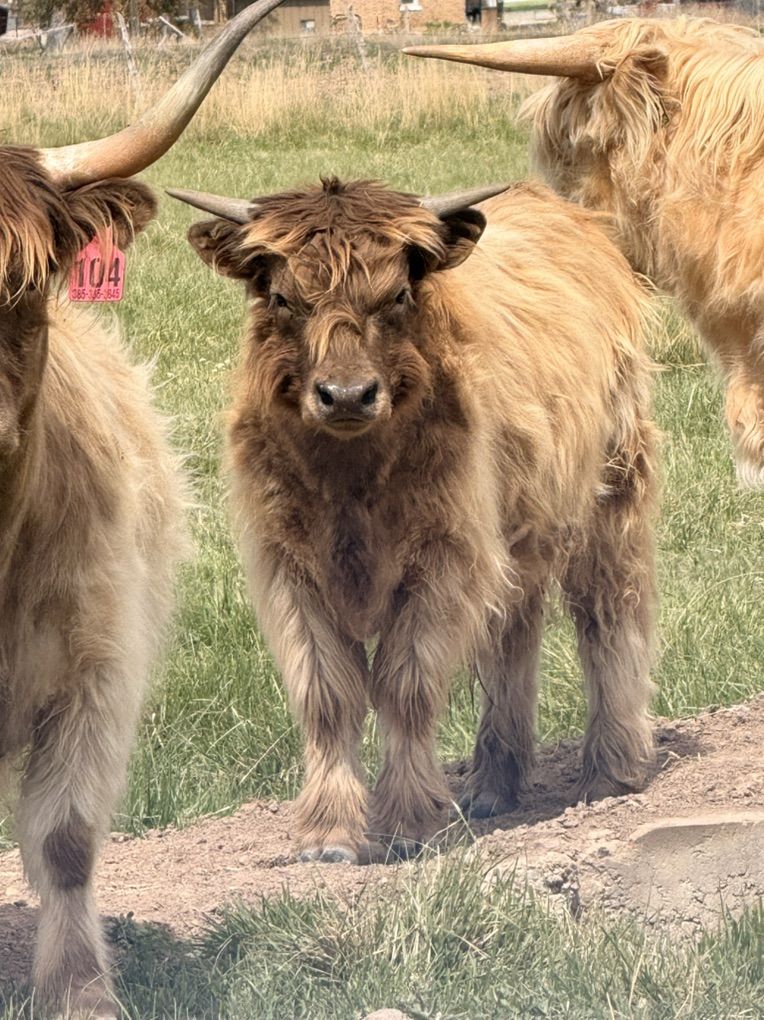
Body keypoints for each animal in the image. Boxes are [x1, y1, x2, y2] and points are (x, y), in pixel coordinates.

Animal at [168, 176, 659, 865]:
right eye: (284, 297)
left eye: (397, 294)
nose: (347, 396)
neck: (352, 480)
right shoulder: (290, 565)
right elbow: (326, 694)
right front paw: (328, 832)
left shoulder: (444, 555)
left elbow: (406, 685)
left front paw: (407, 823)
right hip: (518, 532)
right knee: (513, 633)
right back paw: (494, 782)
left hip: (611, 489)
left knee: (608, 612)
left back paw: (611, 771)